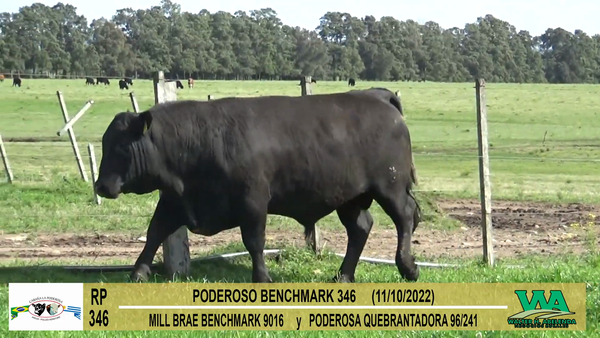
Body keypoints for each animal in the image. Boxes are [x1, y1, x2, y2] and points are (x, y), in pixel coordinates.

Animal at [95, 88, 422, 282]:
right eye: (104, 143)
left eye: (121, 148)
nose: (100, 186)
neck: (199, 141)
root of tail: (376, 95)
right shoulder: (174, 201)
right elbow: (154, 233)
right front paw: (138, 273)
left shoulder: (252, 201)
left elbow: (254, 241)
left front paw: (262, 278)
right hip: (350, 197)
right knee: (360, 228)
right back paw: (343, 276)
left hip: (390, 187)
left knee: (405, 218)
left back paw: (408, 267)